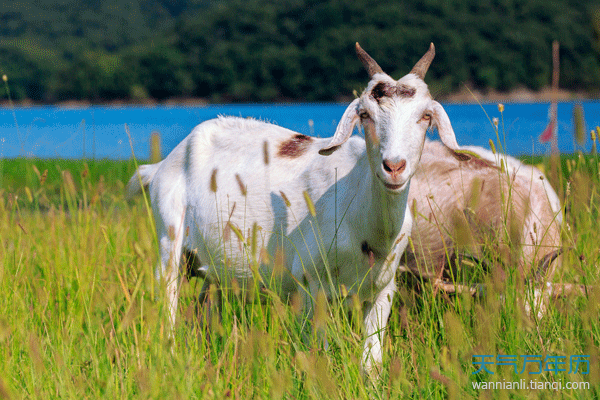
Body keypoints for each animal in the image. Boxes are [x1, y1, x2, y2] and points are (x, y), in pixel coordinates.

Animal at [125, 43, 464, 376]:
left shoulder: (383, 289)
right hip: (169, 242)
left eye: (426, 116)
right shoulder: (312, 283)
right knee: (168, 302)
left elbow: (371, 362)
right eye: (365, 114)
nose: (394, 167)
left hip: (213, 272)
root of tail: (162, 164)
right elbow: (320, 353)